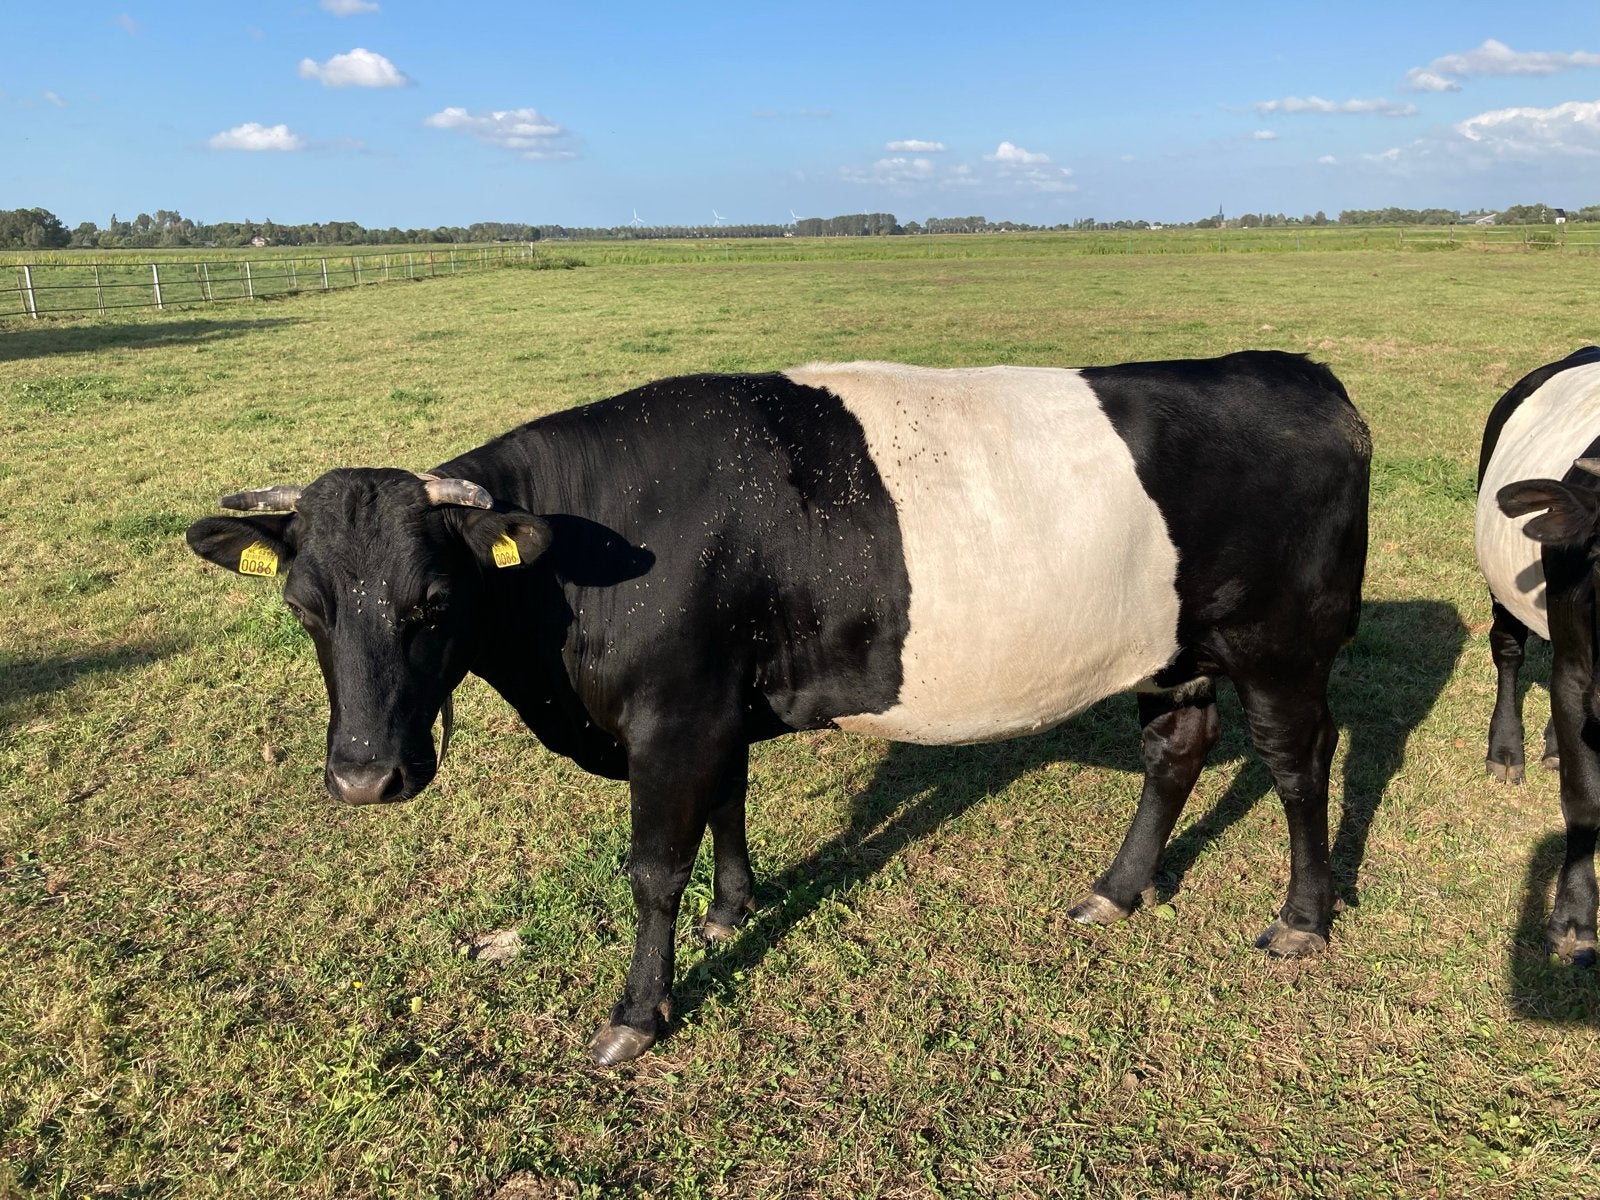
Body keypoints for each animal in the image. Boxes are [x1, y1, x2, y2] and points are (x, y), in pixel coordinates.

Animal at [186, 351, 1371, 1065]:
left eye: (435, 602)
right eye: (302, 606)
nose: (362, 776)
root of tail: (1297, 373)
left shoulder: (672, 712)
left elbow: (651, 868)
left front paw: (636, 1015)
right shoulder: (714, 705)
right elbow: (728, 802)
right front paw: (734, 907)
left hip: (1283, 647)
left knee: (1297, 761)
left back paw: (1301, 920)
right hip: (1171, 649)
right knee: (1177, 746)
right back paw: (1116, 892)